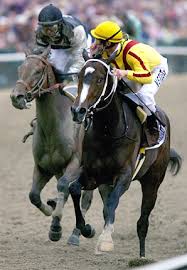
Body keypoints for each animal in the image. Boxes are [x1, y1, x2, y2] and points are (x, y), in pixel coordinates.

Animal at [10, 46, 94, 245]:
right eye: (19, 69)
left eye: (37, 71)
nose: (16, 97)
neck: (53, 129)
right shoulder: (43, 167)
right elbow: (33, 195)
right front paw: (50, 210)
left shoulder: (75, 164)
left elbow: (64, 187)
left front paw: (56, 226)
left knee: (86, 198)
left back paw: (77, 233)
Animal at [68, 56, 181, 256]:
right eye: (80, 76)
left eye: (99, 80)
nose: (78, 111)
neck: (108, 131)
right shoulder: (93, 175)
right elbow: (74, 189)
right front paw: (86, 229)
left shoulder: (124, 176)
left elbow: (113, 202)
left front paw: (105, 241)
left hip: (153, 181)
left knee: (143, 221)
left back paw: (142, 255)